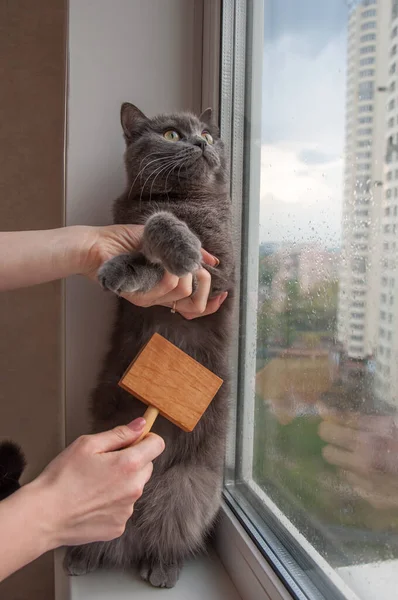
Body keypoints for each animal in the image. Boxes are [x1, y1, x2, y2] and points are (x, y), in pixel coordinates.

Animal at [63, 103, 235, 584]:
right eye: (173, 133)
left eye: (208, 136)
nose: (200, 143)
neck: (181, 201)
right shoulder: (128, 222)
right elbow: (150, 236)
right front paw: (126, 266)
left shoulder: (222, 270)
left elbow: (165, 233)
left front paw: (179, 251)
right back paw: (81, 557)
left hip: (188, 490)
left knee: (169, 532)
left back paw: (161, 566)